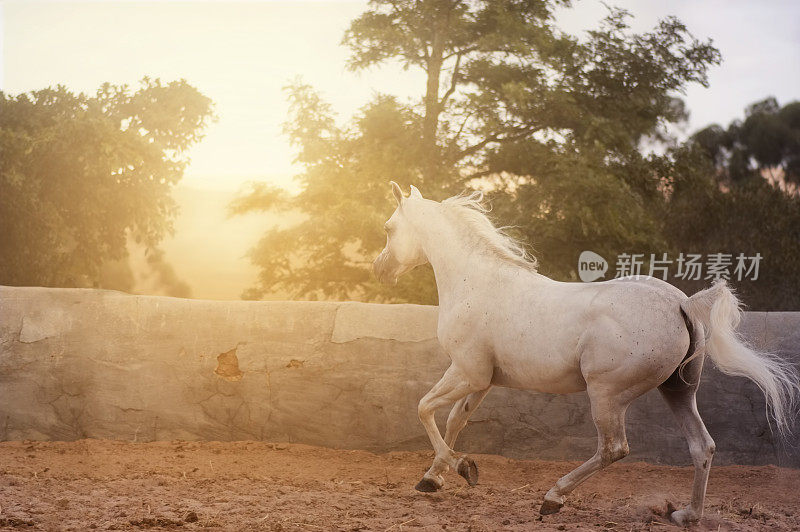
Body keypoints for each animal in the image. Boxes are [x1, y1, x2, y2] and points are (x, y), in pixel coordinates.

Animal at [372, 184, 796, 528]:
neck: (477, 281)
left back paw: (552, 498)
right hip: (677, 392)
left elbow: (425, 409)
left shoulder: (466, 372)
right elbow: (454, 421)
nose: (380, 269)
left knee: (613, 448)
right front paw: (433, 478)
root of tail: (682, 304)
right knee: (701, 446)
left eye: (389, 228)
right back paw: (686, 515)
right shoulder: (482, 379)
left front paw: (462, 468)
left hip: (607, 395)